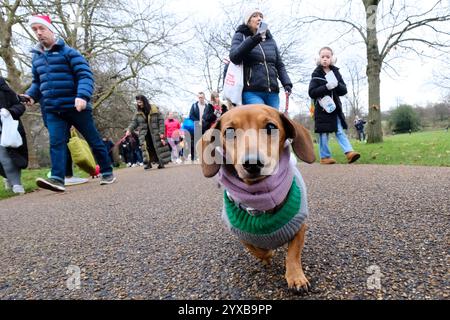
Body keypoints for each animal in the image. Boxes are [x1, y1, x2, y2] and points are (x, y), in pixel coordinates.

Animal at [199, 105, 314, 292]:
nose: (252, 163)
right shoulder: (240, 233)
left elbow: (293, 253)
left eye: (271, 127)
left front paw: (296, 277)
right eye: (229, 132)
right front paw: (267, 255)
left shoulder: (300, 225)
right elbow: (255, 248)